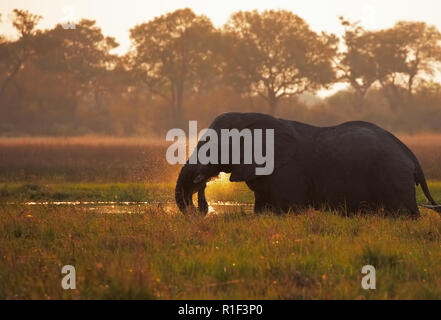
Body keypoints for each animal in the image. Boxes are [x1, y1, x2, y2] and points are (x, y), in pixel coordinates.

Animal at [175, 112, 440, 218]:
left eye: (210, 145)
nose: (200, 209)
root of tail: (411, 155)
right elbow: (262, 208)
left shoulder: (288, 172)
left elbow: (286, 208)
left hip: (393, 176)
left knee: (404, 214)